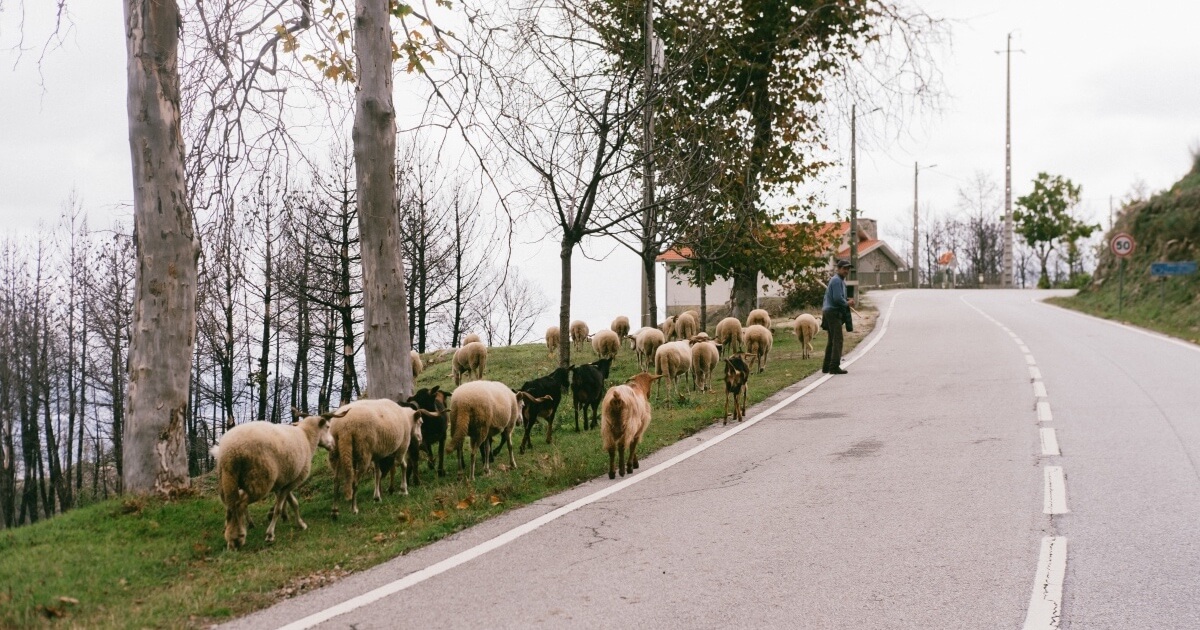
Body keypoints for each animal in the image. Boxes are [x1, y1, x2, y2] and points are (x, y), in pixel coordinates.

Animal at [212, 410, 338, 547]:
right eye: (328, 427)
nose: (333, 445)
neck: (307, 437)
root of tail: (231, 450)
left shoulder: (283, 482)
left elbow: (293, 503)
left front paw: (300, 524)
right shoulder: (294, 481)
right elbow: (278, 508)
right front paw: (270, 534)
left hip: (228, 478)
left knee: (230, 506)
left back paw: (231, 534)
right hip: (259, 479)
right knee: (240, 504)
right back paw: (238, 538)